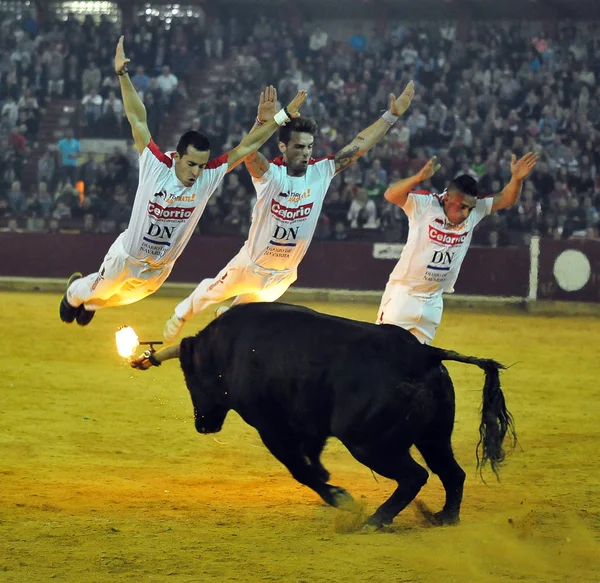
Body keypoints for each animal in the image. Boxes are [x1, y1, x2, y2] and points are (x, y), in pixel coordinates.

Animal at [177, 302, 516, 528]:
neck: (226, 349)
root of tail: (422, 354)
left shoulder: (271, 427)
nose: (202, 424)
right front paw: (330, 484)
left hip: (368, 444)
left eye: (189, 377)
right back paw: (444, 517)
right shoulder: (310, 424)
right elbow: (312, 458)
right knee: (452, 472)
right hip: (433, 436)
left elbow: (299, 469)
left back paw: (374, 521)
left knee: (415, 475)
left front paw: (340, 498)